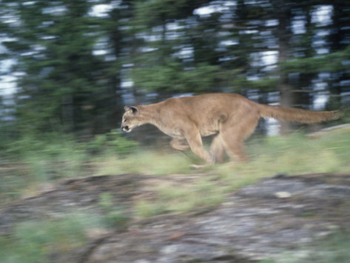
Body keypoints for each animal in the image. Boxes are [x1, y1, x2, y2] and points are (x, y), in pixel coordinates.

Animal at [121, 93, 342, 163]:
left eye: (124, 118)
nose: (122, 128)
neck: (155, 114)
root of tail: (252, 102)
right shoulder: (182, 131)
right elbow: (173, 143)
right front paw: (182, 148)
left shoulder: (190, 127)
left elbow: (195, 146)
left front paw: (203, 156)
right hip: (224, 134)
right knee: (228, 151)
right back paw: (215, 164)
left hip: (230, 132)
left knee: (244, 159)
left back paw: (220, 165)